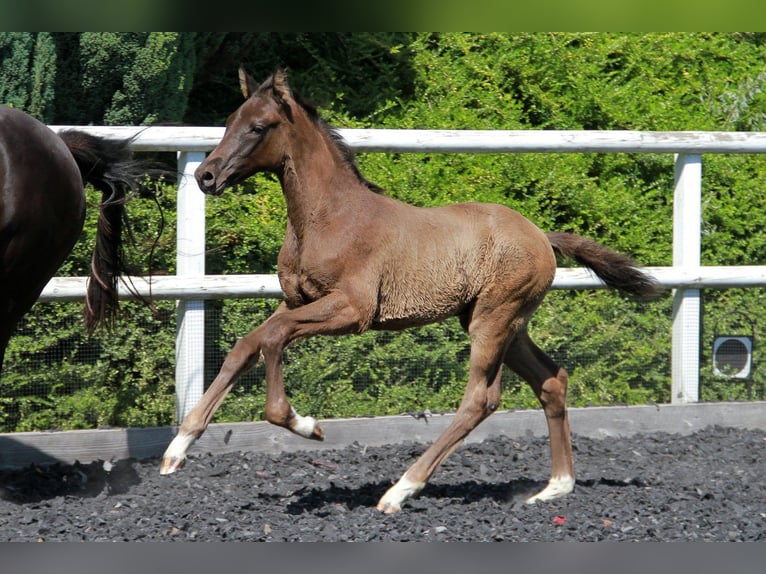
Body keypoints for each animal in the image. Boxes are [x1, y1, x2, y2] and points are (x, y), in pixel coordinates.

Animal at [160, 68, 660, 514]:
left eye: (259, 127)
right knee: (552, 381)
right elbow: (248, 344)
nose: (206, 176)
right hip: (507, 324)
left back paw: (400, 491)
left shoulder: (353, 310)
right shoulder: (299, 300)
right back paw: (555, 487)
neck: (328, 217)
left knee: (480, 399)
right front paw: (177, 448)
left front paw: (306, 426)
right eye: (230, 120)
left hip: (493, 321)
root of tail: (542, 236)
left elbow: (273, 337)